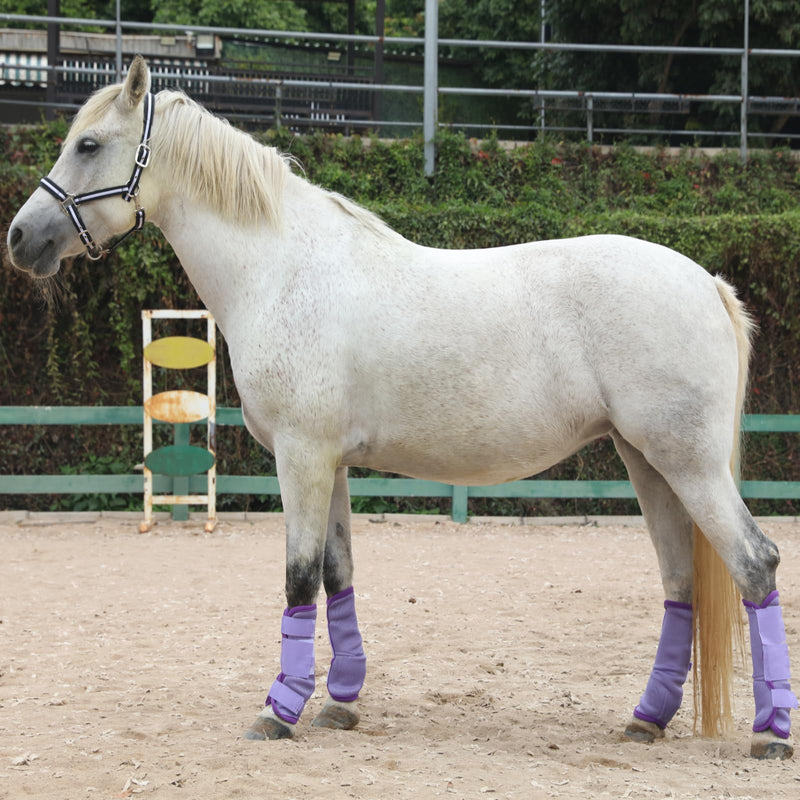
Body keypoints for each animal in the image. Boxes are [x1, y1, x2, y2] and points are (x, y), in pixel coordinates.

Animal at [7, 57, 796, 758]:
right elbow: (337, 574)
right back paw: (646, 720)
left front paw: (279, 712)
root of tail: (707, 282)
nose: (20, 238)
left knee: (755, 563)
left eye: (87, 144)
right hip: (648, 463)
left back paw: (769, 734)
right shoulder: (331, 463)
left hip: (687, 465)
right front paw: (338, 705)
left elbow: (298, 576)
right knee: (681, 580)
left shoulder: (301, 456)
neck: (282, 269)